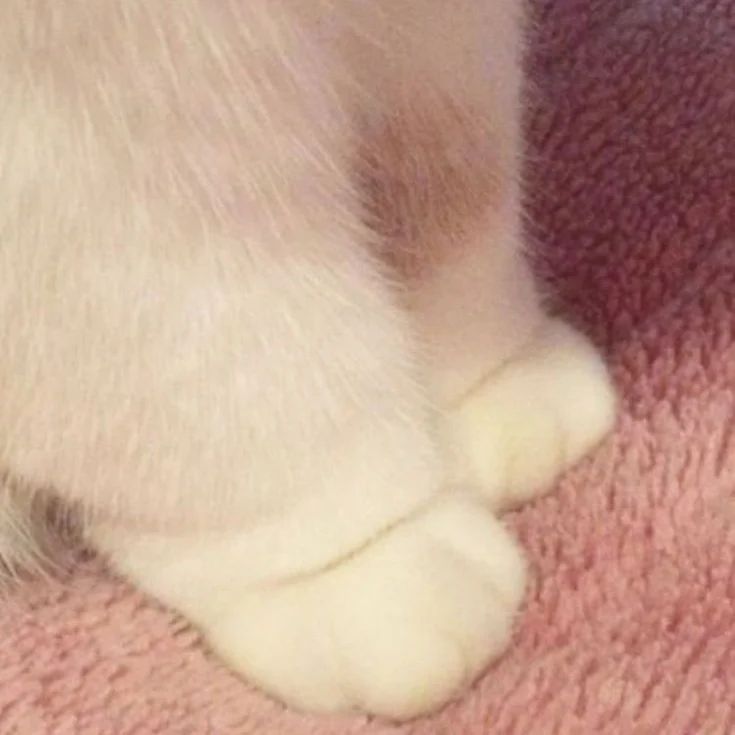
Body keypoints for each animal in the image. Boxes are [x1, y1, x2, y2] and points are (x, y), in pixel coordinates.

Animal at [0, 0, 615, 720]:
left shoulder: (432, 46)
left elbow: (449, 178)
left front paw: (485, 377)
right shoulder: (96, 99)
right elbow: (229, 354)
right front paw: (362, 564)